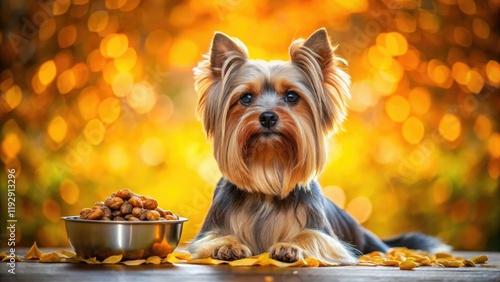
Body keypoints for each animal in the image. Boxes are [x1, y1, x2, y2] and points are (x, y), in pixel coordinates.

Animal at [188, 27, 450, 264]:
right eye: (246, 98)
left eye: (292, 96)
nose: (268, 117)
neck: (269, 171)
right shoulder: (210, 229)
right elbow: (211, 238)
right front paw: (228, 245)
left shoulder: (326, 236)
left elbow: (311, 236)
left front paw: (288, 246)